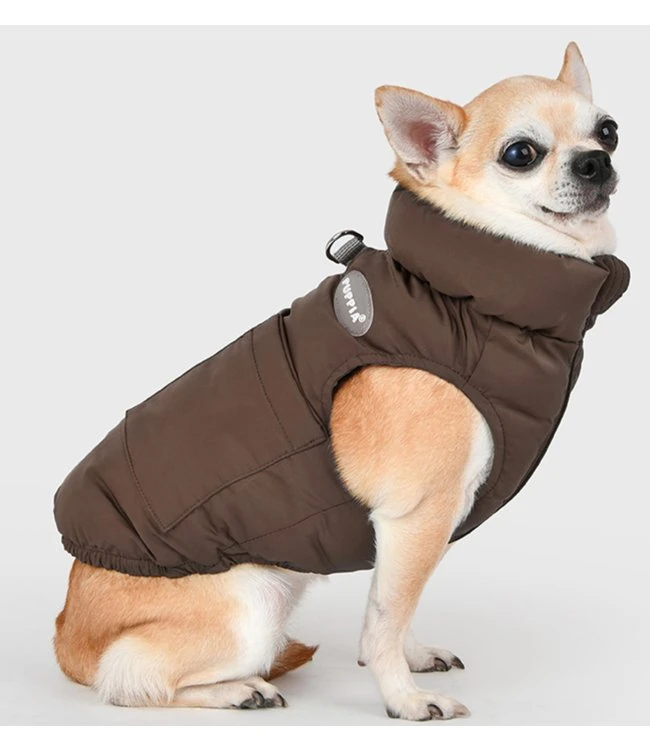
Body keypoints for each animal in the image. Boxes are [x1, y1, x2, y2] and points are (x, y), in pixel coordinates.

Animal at [53, 42, 626, 721]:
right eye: (521, 154)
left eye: (609, 131)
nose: (596, 161)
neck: (464, 292)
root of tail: (67, 632)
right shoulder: (417, 515)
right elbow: (384, 619)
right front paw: (403, 699)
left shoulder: (410, 532)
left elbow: (391, 609)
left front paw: (411, 657)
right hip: (253, 603)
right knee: (130, 680)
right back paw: (239, 690)